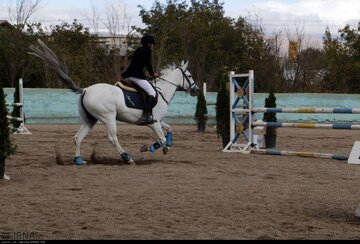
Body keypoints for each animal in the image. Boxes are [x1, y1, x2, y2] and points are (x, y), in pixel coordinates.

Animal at [29, 40, 200, 165]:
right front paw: (149, 148)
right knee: (112, 138)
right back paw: (127, 157)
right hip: (108, 118)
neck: (161, 91)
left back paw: (78, 160)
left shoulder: (157, 120)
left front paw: (168, 147)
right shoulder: (154, 122)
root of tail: (85, 90)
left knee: (78, 137)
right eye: (189, 76)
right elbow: (161, 139)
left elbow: (169, 128)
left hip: (90, 120)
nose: (197, 90)